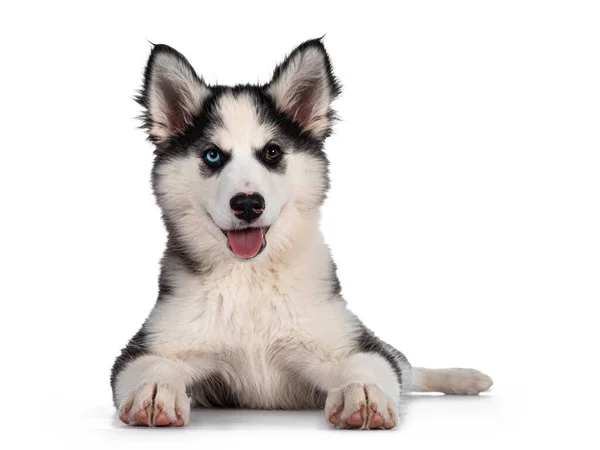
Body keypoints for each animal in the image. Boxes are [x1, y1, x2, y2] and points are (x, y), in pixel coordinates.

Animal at [111, 40, 492, 430]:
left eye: (272, 152)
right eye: (213, 156)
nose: (248, 204)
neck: (250, 278)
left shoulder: (351, 342)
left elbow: (372, 365)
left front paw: (363, 392)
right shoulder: (148, 346)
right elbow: (152, 365)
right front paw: (154, 389)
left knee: (408, 368)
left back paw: (467, 378)